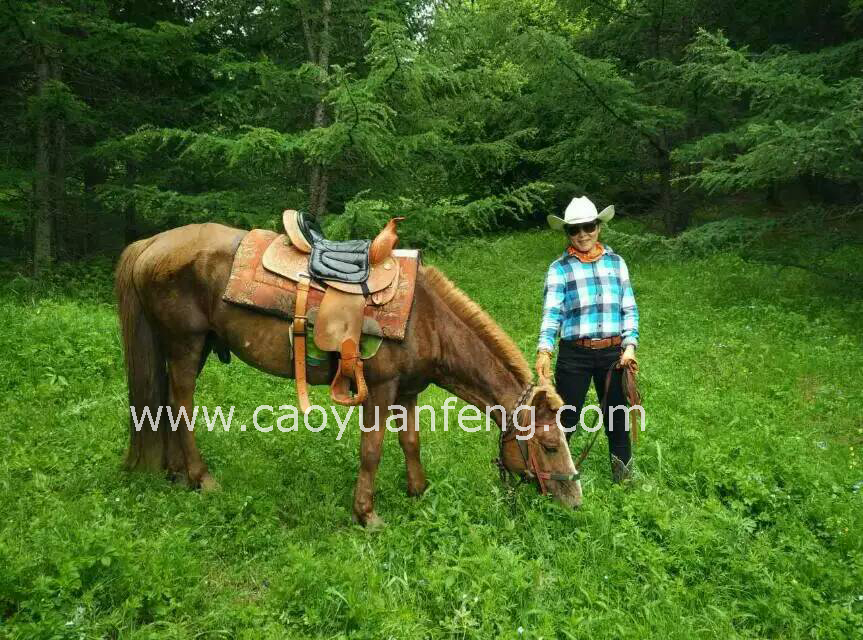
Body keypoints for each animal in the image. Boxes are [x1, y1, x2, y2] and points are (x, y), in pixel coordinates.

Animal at [114, 222, 582, 525]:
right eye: (549, 446)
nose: (575, 499)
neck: (427, 320)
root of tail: (152, 243)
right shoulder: (379, 389)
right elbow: (372, 450)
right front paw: (367, 514)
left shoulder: (408, 391)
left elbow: (411, 442)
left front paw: (418, 493)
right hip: (186, 343)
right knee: (181, 405)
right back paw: (201, 478)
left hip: (186, 346)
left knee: (166, 406)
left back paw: (177, 474)